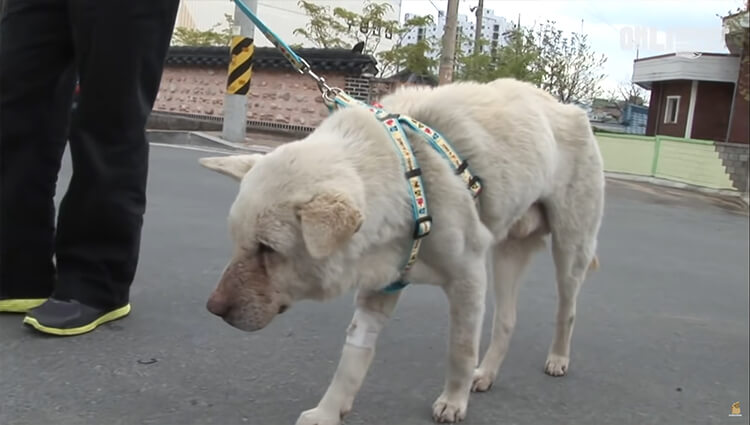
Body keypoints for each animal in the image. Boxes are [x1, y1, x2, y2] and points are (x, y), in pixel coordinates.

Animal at [198, 78, 604, 422]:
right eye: (238, 242)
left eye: (268, 249)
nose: (212, 309)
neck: (409, 178)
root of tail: (570, 108)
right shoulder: (380, 286)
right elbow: (352, 360)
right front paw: (328, 412)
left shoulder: (468, 279)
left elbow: (460, 349)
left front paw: (453, 402)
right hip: (508, 255)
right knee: (507, 320)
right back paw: (487, 373)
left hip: (570, 250)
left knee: (566, 310)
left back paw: (557, 358)